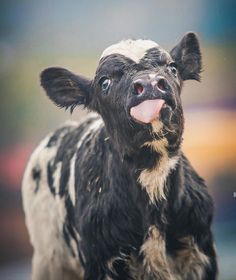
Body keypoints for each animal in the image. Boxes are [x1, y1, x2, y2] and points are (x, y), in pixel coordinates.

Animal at [22, 31, 218, 278]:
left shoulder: (200, 253)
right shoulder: (102, 262)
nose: (150, 83)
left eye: (172, 68)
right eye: (104, 82)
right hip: (48, 259)